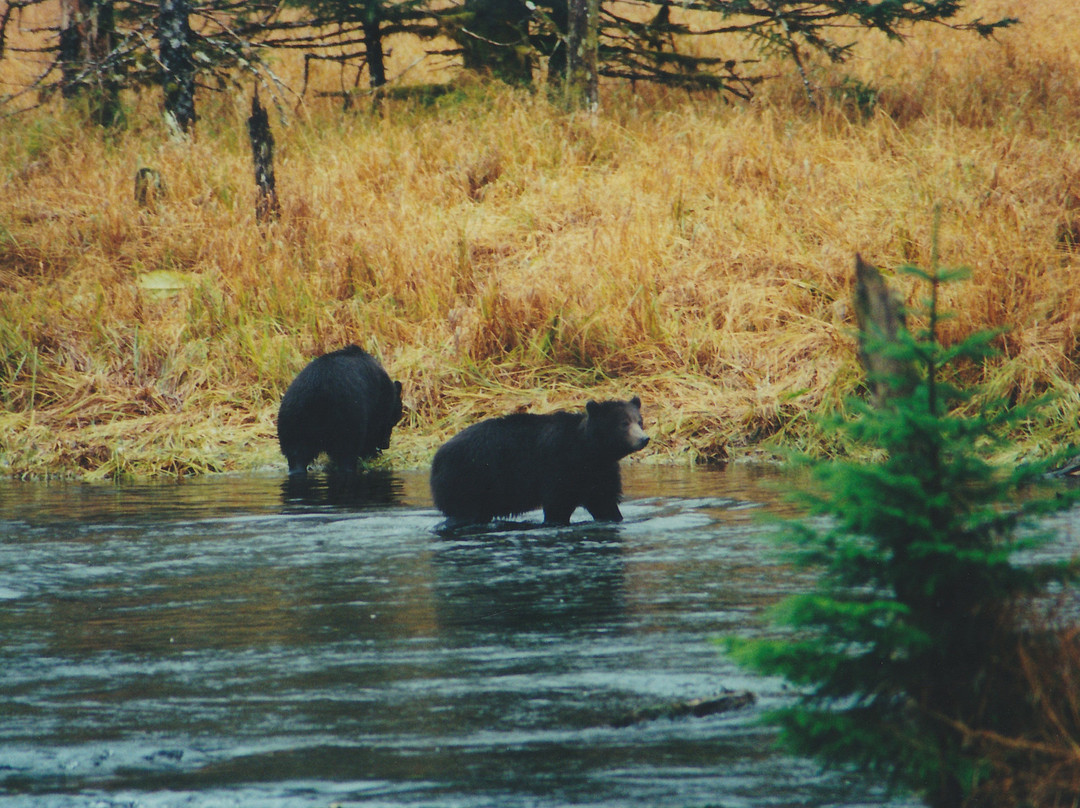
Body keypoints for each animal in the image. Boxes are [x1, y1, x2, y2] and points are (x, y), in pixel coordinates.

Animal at [276, 345, 403, 473]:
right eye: (393, 422)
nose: (386, 444)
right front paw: (373, 453)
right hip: (345, 417)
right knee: (347, 450)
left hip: (293, 419)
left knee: (296, 454)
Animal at [429, 395, 648, 524]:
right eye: (623, 423)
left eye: (639, 421)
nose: (644, 438)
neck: (590, 452)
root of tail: (437, 457)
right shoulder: (558, 466)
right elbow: (557, 505)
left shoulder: (599, 473)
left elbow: (604, 502)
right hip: (467, 480)